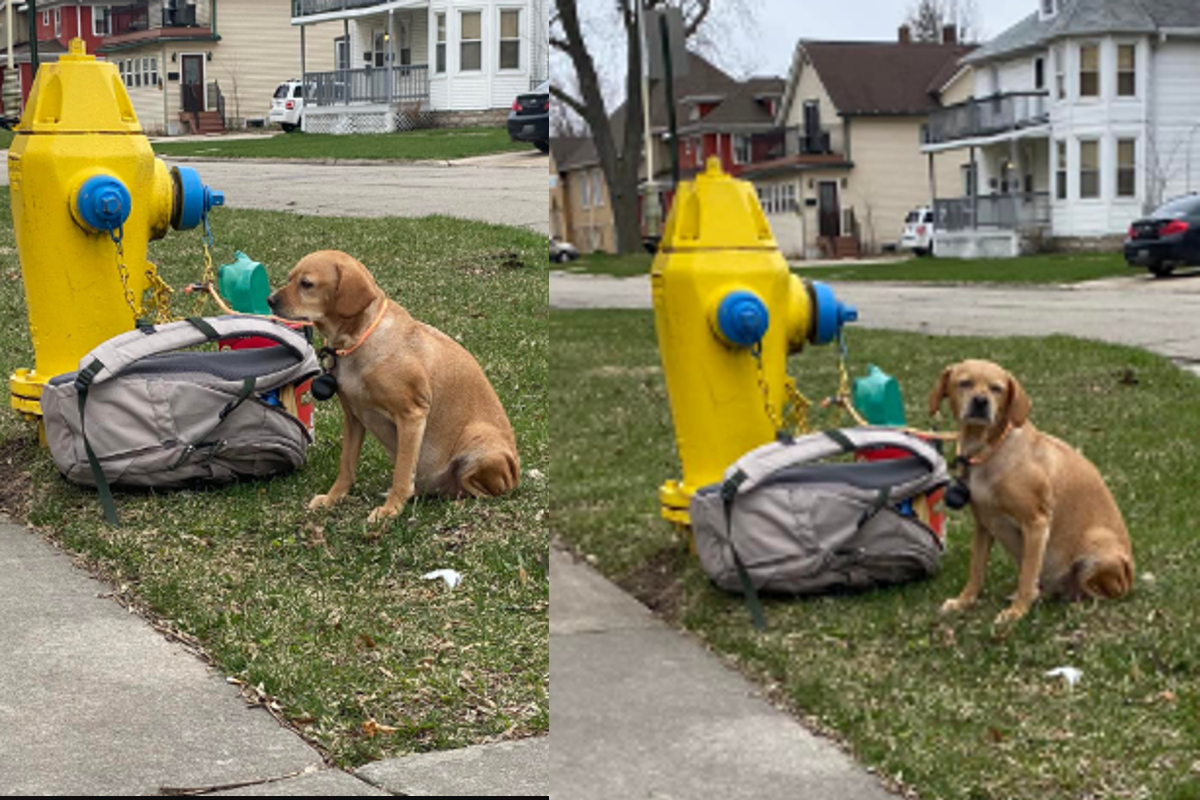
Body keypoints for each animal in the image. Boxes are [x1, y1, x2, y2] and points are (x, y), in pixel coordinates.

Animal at [271, 251, 520, 525]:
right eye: (290, 278)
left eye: (306, 284)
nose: (270, 300)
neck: (358, 341)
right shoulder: (353, 417)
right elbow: (346, 466)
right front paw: (332, 498)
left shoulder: (412, 415)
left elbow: (401, 473)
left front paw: (390, 510)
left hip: (479, 448)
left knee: (485, 493)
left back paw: (459, 505)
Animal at [926, 359, 1132, 628]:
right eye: (965, 382)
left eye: (997, 388)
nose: (980, 401)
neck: (988, 450)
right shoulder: (983, 525)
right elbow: (976, 571)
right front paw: (964, 601)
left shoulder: (1036, 524)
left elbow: (1026, 576)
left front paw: (1016, 613)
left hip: (1096, 552)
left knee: (1098, 591)